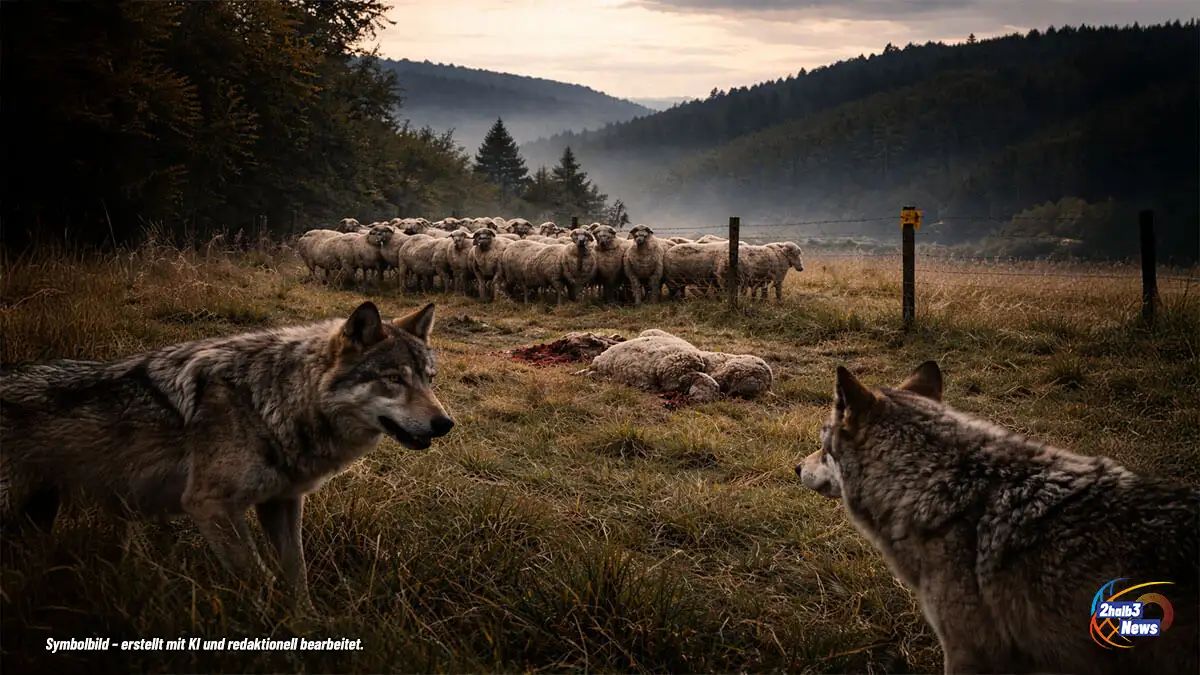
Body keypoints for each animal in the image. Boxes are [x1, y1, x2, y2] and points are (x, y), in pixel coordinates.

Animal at [1, 300, 454, 613]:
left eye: (429, 380)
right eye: (393, 379)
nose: (445, 423)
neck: (272, 401)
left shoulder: (283, 502)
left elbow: (297, 574)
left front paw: (309, 624)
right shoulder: (210, 506)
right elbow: (262, 580)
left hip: (36, 515)